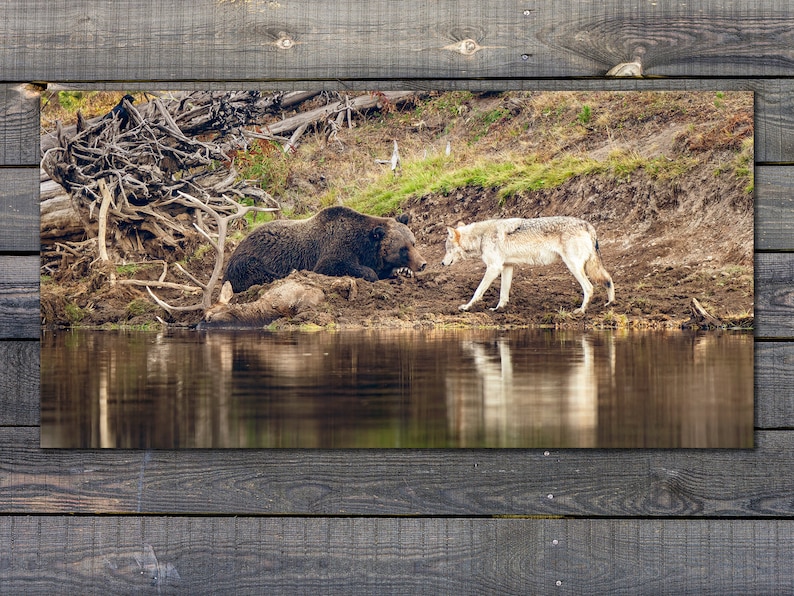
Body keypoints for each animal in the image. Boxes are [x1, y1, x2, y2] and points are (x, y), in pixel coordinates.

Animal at [223, 205, 426, 294]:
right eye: (402, 248)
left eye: (413, 243)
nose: (423, 263)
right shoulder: (335, 247)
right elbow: (334, 265)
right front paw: (371, 274)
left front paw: (403, 271)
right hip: (249, 260)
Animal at [440, 217, 612, 314]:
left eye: (447, 249)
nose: (442, 263)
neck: (481, 237)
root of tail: (588, 225)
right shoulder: (507, 267)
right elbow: (503, 294)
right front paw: (499, 310)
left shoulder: (494, 268)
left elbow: (478, 291)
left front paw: (466, 307)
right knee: (609, 280)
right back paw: (610, 304)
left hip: (573, 267)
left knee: (589, 288)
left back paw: (581, 311)